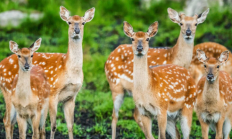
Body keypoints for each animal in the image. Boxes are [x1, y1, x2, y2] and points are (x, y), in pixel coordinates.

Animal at [0, 5, 95, 138]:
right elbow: (53, 126)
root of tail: (0, 64)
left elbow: (70, 126)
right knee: (7, 120)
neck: (69, 70)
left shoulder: (71, 96)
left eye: (83, 23)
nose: (77, 31)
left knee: (10, 121)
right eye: (69, 22)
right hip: (8, 92)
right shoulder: (53, 93)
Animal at [104, 7, 209, 138]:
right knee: (116, 115)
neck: (174, 57)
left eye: (196, 23)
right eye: (181, 23)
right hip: (115, 86)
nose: (188, 33)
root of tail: (109, 57)